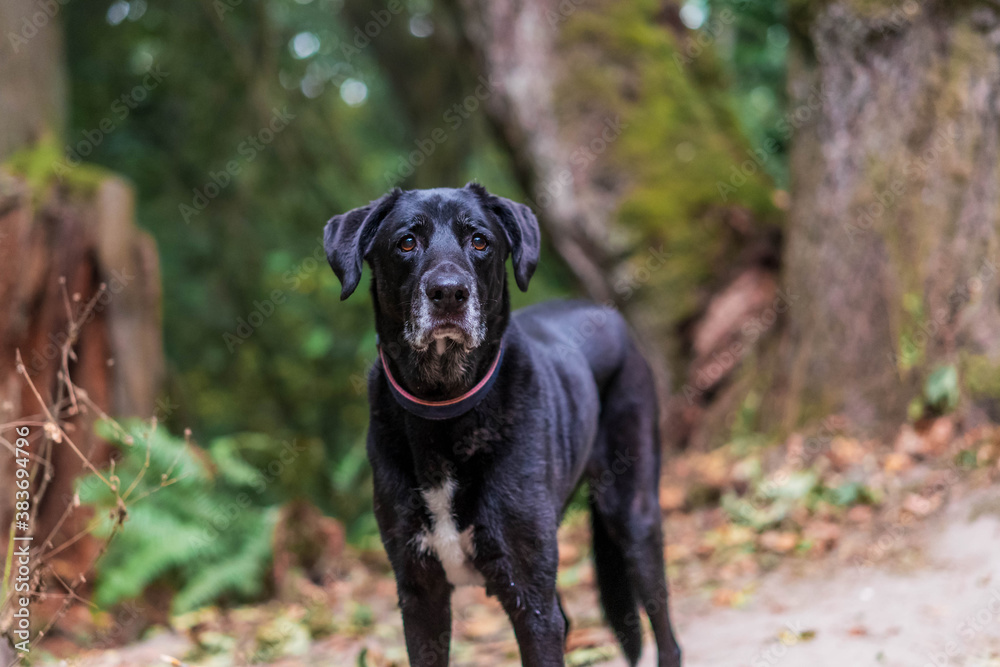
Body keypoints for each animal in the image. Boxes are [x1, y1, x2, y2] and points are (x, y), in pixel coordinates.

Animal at [324, 184, 684, 667]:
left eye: (480, 241)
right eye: (406, 242)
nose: (449, 293)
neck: (444, 409)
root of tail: (608, 313)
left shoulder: (530, 598)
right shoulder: (420, 595)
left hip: (632, 513)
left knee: (665, 630)